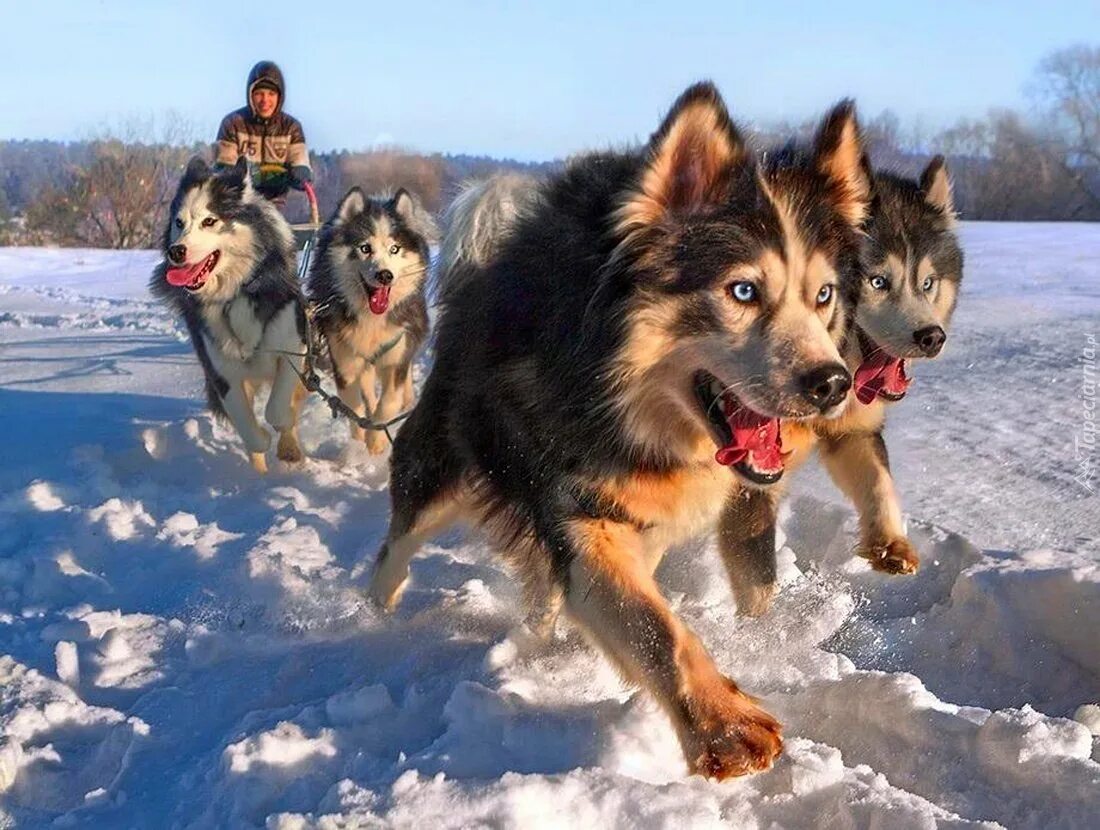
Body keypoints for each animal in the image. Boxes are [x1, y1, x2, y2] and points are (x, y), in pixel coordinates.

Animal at [148, 157, 308, 474]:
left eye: (210, 221)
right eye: (179, 222)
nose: (176, 251)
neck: (232, 296)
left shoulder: (293, 348)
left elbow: (278, 409)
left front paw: (285, 440)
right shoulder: (222, 373)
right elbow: (248, 429)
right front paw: (260, 449)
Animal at [308, 189, 435, 455]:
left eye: (394, 249)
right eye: (365, 248)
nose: (385, 275)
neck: (372, 320)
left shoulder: (396, 356)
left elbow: (390, 401)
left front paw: (376, 442)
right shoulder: (345, 362)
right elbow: (353, 406)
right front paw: (358, 445)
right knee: (367, 390)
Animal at [365, 84, 871, 778]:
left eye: (823, 295)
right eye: (742, 291)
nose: (832, 384)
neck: (624, 402)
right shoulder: (576, 507)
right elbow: (656, 628)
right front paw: (724, 725)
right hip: (442, 471)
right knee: (396, 546)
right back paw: (372, 617)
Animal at [726, 157, 968, 615]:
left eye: (927, 283)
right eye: (877, 281)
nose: (932, 337)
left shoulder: (854, 432)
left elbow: (878, 483)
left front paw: (889, 544)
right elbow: (755, 578)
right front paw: (759, 628)